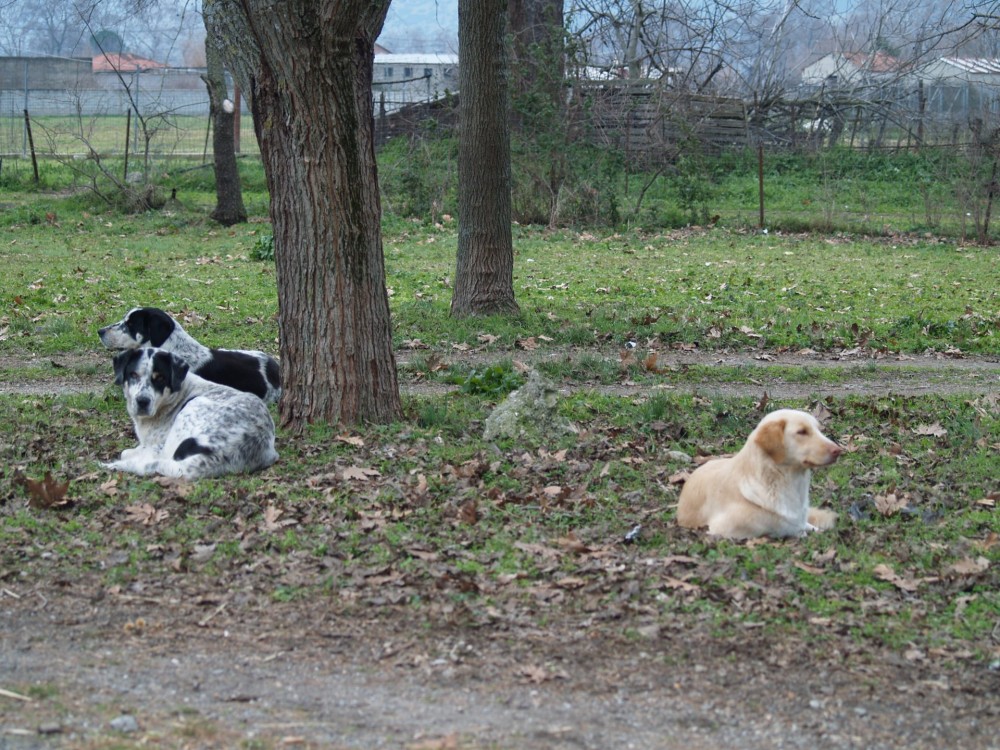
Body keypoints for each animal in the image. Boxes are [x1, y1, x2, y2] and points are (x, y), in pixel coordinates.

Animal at [102, 348, 278, 482]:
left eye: (160, 378)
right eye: (133, 374)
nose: (142, 401)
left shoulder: (158, 446)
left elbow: (128, 452)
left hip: (190, 411)